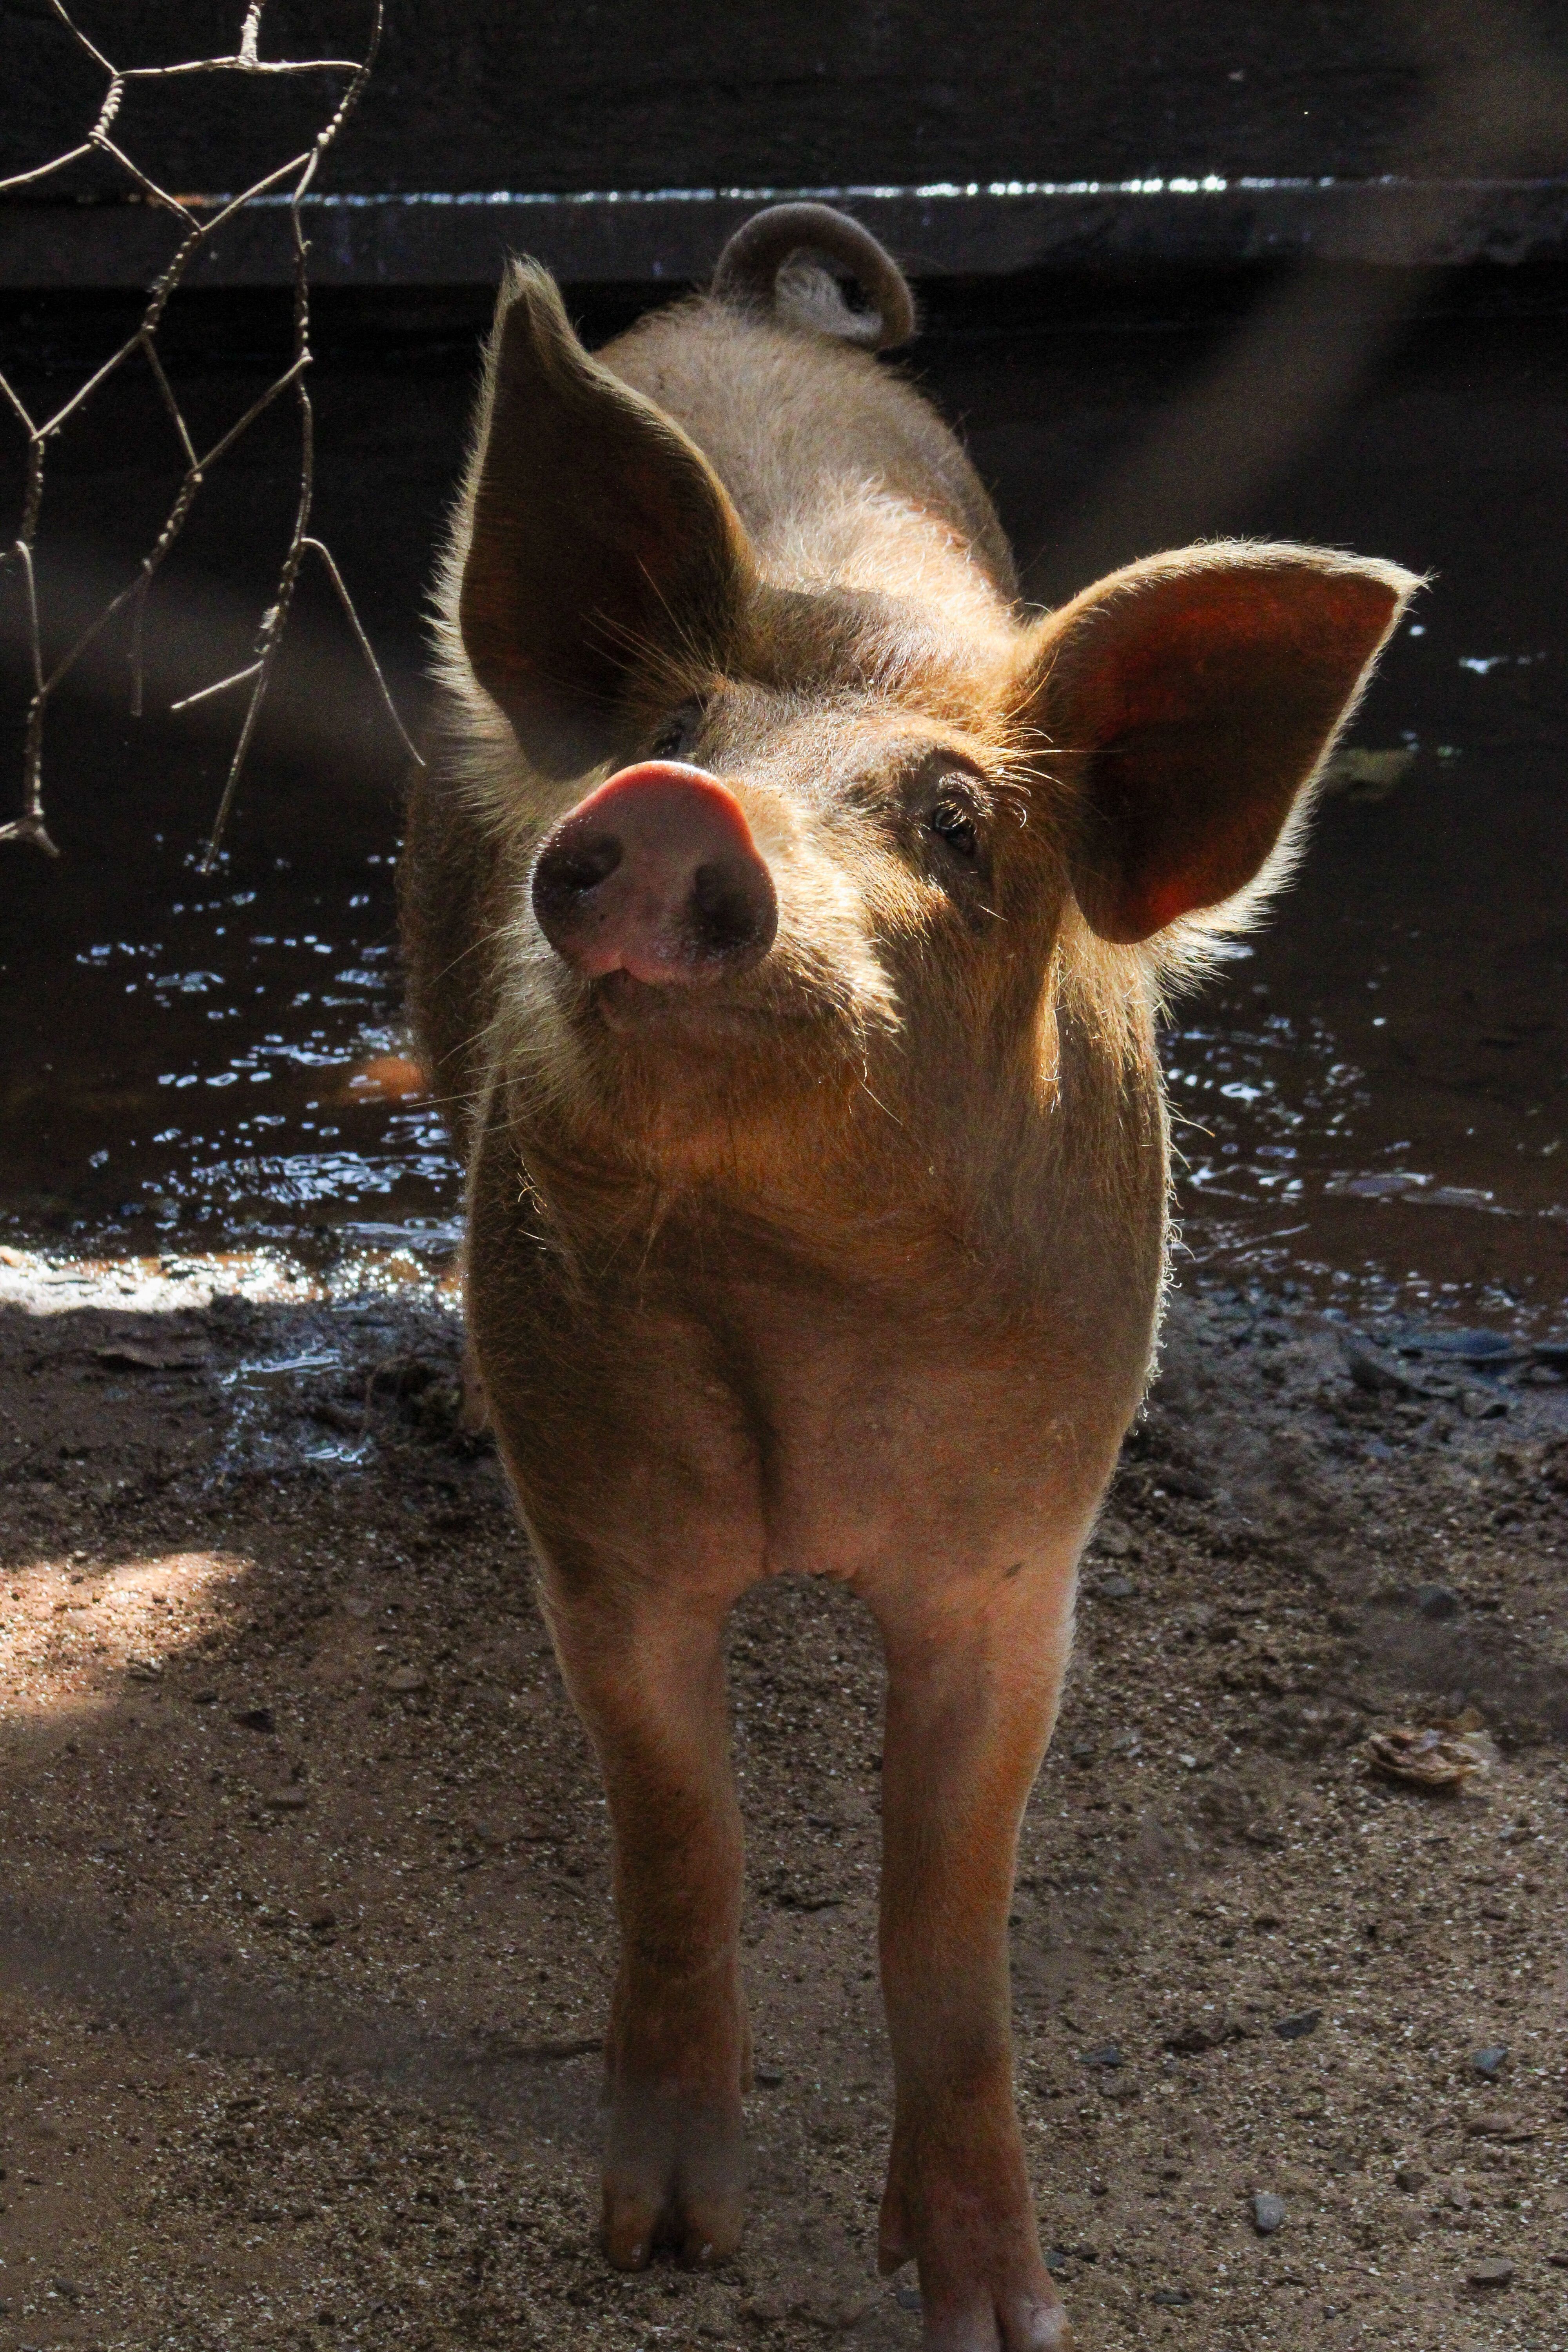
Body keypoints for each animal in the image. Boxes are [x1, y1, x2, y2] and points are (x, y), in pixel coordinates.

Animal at [401, 202, 1417, 2350]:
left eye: (954, 820)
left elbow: (944, 1919)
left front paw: (1002, 2316)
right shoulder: (601, 1534)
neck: (797, 1304)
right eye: (672, 741)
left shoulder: (1009, 1562)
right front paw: (658, 2245)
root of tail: (744, 299)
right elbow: (680, 1838)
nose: (670, 810)